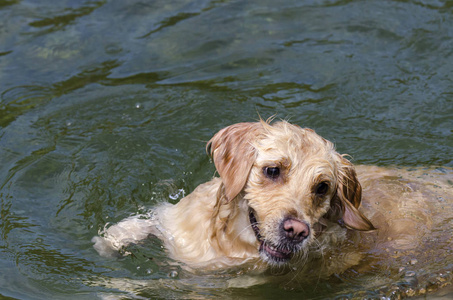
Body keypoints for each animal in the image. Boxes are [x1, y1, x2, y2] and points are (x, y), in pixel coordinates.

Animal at [92, 120, 374, 272]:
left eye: (322, 187)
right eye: (273, 170)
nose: (296, 231)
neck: (230, 247)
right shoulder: (175, 224)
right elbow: (136, 226)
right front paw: (108, 244)